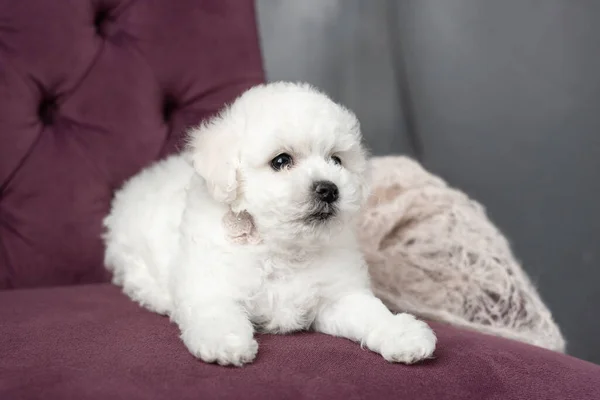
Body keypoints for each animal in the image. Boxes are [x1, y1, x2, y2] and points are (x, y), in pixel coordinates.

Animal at [103, 81, 436, 366]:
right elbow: (215, 310)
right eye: (281, 161)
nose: (329, 189)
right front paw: (225, 341)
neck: (283, 246)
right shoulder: (212, 282)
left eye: (336, 160)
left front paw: (402, 334)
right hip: (130, 250)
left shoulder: (340, 295)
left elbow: (371, 313)